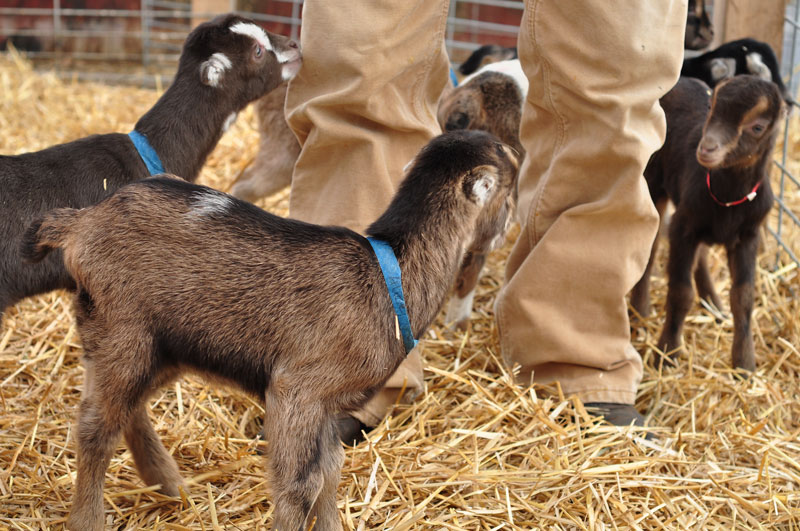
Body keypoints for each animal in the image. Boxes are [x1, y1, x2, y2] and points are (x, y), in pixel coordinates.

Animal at [22, 130, 518, 531]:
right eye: (512, 186)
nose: (508, 225)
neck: (388, 271)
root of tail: (81, 221)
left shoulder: (328, 408)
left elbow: (330, 472)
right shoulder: (298, 390)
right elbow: (299, 484)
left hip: (159, 343)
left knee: (127, 408)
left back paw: (169, 484)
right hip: (124, 328)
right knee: (96, 428)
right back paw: (90, 519)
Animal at [630, 76, 784, 372]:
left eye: (757, 127)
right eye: (712, 107)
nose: (707, 148)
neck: (728, 197)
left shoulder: (748, 236)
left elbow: (744, 297)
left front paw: (745, 364)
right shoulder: (683, 228)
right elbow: (681, 292)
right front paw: (666, 353)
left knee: (699, 255)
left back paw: (713, 304)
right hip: (654, 181)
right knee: (649, 246)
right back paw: (638, 313)